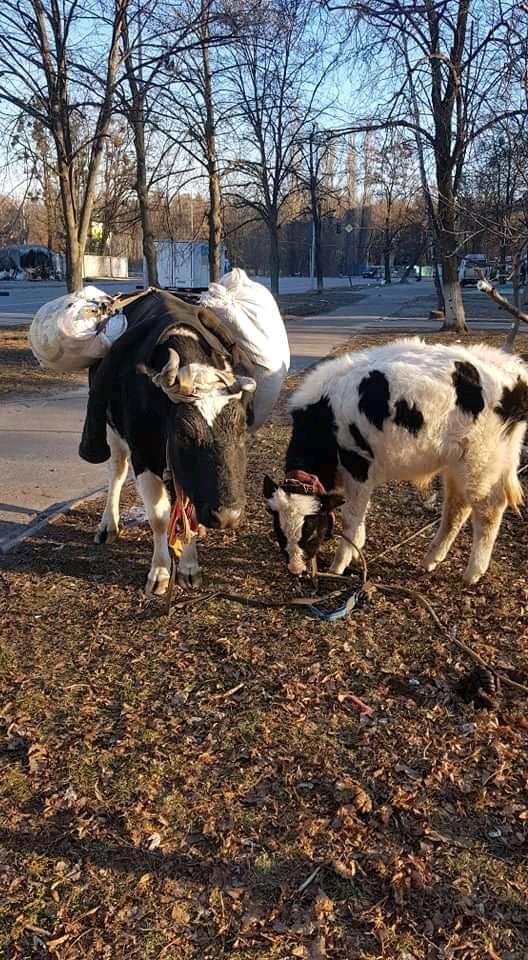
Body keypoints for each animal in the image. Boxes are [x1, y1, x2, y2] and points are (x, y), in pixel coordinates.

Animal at [83, 288, 256, 596]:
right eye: (184, 434)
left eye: (240, 429)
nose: (228, 516)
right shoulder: (144, 455)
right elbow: (159, 516)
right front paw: (161, 572)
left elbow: (186, 511)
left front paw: (189, 567)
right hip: (112, 431)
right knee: (117, 471)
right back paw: (108, 525)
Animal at [266, 342, 528, 588]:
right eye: (279, 531)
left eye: (310, 532)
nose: (295, 569)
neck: (324, 417)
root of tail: (513, 373)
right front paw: (356, 551)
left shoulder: (358, 467)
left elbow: (351, 517)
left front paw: (338, 565)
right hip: (459, 464)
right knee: (457, 508)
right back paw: (431, 560)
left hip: (481, 462)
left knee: (489, 510)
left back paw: (473, 573)